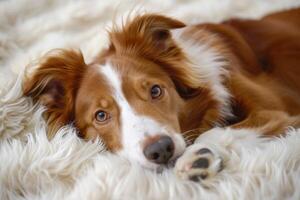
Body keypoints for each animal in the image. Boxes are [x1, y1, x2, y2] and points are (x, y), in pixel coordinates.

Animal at [24, 7, 300, 183]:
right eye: (101, 116)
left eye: (155, 90)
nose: (161, 150)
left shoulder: (278, 114)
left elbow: (214, 131)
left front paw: (197, 156)